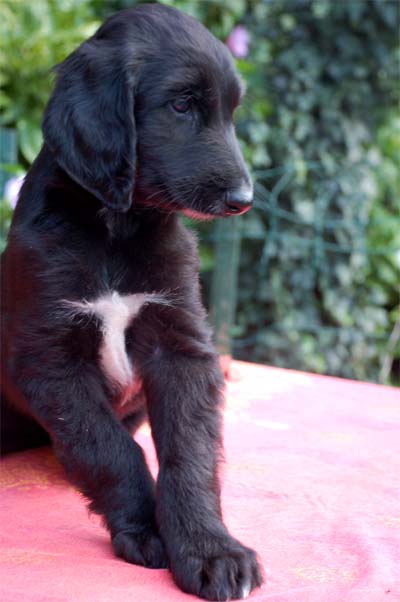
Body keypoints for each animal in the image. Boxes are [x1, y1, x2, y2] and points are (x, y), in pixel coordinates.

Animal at [0, 4, 263, 600]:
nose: (244, 199)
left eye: (231, 112)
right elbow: (108, 448)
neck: (117, 226)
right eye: (182, 104)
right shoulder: (49, 359)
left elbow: (190, 453)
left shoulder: (180, 343)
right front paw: (144, 529)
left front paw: (211, 549)